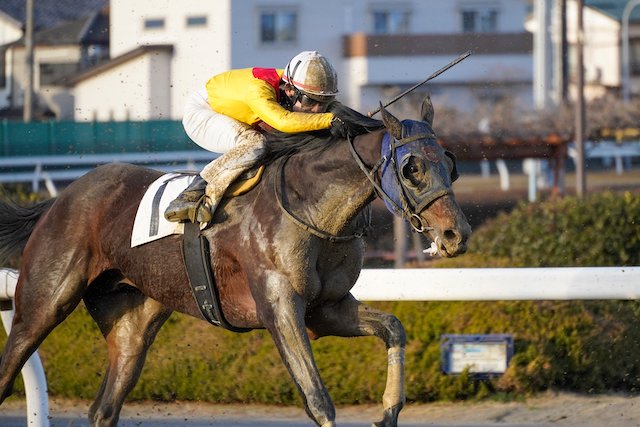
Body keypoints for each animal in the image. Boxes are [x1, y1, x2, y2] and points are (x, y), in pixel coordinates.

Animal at [0, 98, 470, 426]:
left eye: (450, 164)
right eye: (412, 168)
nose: (456, 235)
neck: (312, 207)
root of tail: (62, 197)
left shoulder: (327, 309)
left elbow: (393, 327)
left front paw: (388, 410)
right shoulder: (281, 308)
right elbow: (318, 399)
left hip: (133, 322)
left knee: (104, 406)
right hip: (43, 304)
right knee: (11, 369)